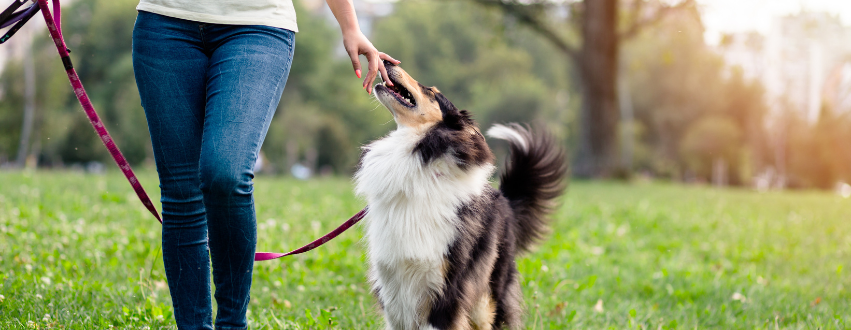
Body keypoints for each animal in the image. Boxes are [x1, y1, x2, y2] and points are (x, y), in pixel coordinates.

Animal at [356, 60, 568, 328]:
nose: (387, 61)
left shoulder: (447, 290)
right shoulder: (392, 286)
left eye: (432, 92)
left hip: (486, 299)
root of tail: (505, 200)